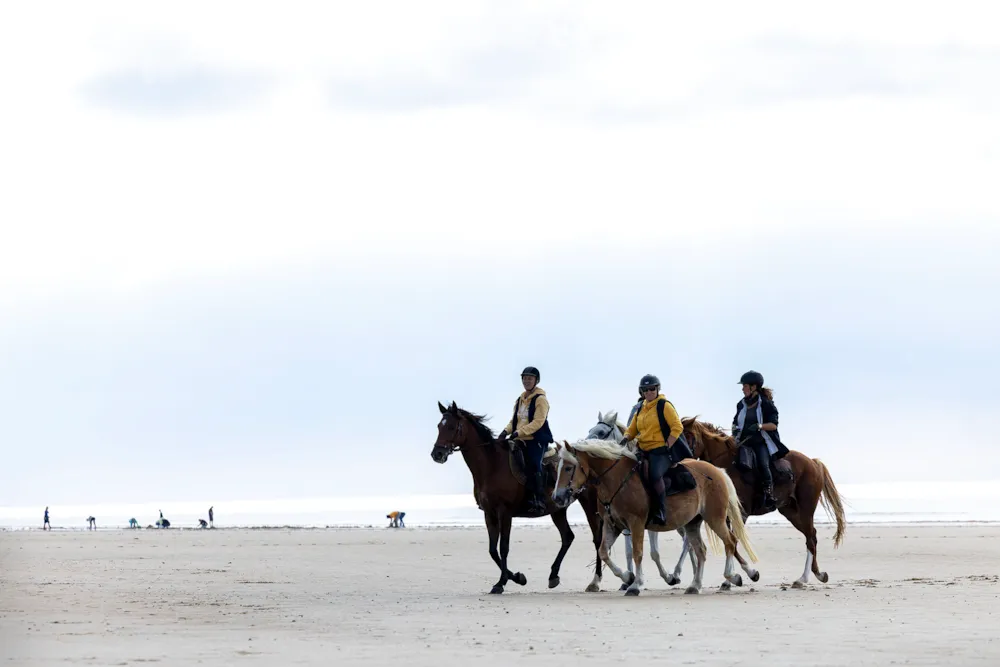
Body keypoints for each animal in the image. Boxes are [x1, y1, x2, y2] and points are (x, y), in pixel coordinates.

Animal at [428, 402, 600, 596]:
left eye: (451, 427)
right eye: (439, 426)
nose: (437, 454)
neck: (492, 465)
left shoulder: (505, 513)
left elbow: (503, 547)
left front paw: (501, 582)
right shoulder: (489, 514)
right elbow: (492, 550)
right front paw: (518, 577)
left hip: (590, 505)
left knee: (597, 539)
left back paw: (596, 581)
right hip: (558, 510)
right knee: (568, 537)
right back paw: (553, 575)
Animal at [584, 412, 696, 588]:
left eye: (601, 432)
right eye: (590, 430)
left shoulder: (649, 523)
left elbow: (654, 553)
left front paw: (664, 577)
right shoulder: (625, 525)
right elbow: (630, 551)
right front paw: (629, 580)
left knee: (687, 542)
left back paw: (677, 574)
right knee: (690, 542)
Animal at [680, 420, 844, 588]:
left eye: (688, 435)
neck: (728, 464)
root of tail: (813, 462)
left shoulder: (741, 514)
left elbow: (734, 541)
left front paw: (746, 575)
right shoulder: (724, 516)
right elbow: (730, 542)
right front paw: (732, 579)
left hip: (806, 509)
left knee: (810, 539)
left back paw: (804, 578)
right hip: (790, 512)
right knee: (812, 535)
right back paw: (817, 574)